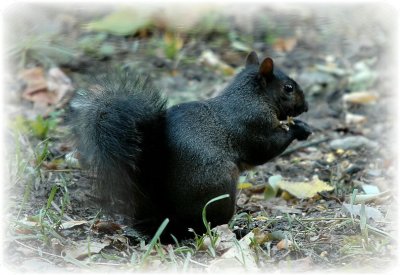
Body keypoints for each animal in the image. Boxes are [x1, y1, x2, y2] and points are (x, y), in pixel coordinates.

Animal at [70, 52, 310, 242]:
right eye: (288, 88)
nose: (306, 107)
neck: (251, 96)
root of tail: (165, 220)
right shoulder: (253, 125)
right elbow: (266, 148)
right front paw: (298, 129)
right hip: (219, 190)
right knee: (204, 227)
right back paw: (236, 230)